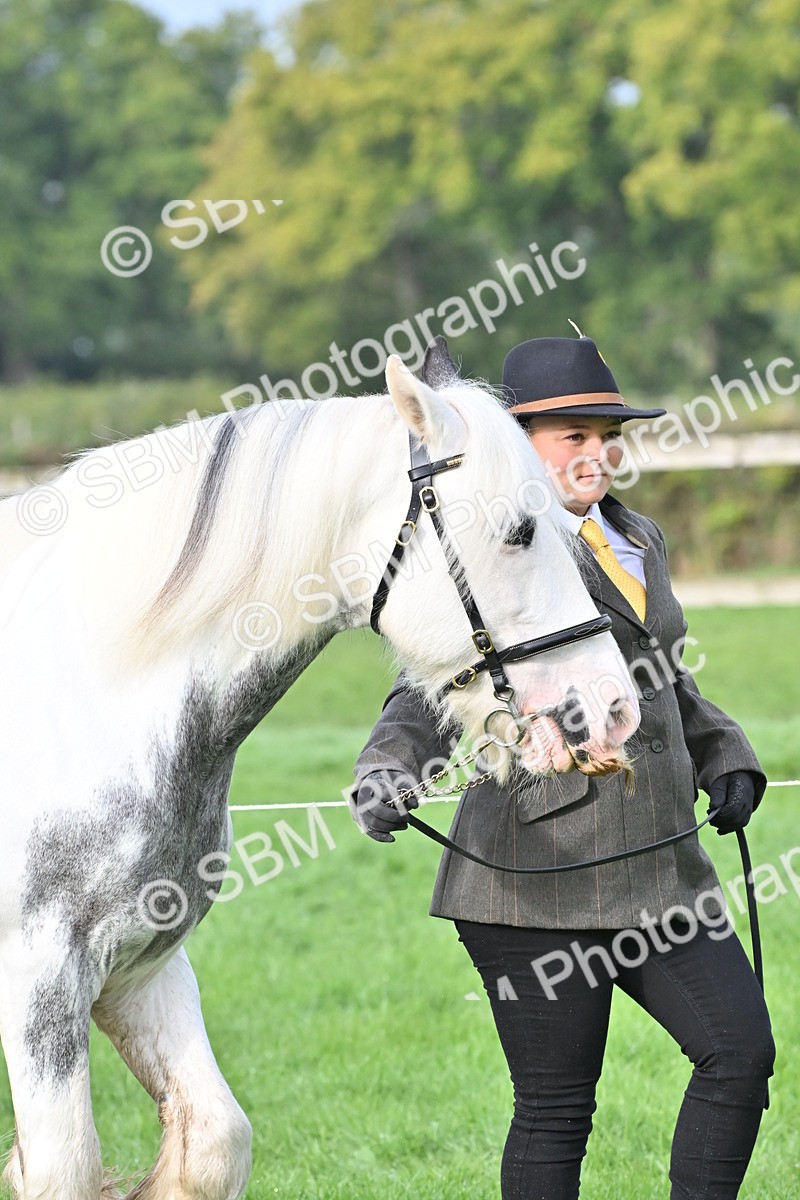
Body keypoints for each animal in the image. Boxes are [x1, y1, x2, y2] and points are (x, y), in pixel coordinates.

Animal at [0, 347, 639, 1200]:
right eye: (519, 530)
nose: (612, 708)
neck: (79, 694)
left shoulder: (140, 965)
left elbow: (215, 1142)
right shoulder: (40, 980)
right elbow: (66, 1167)